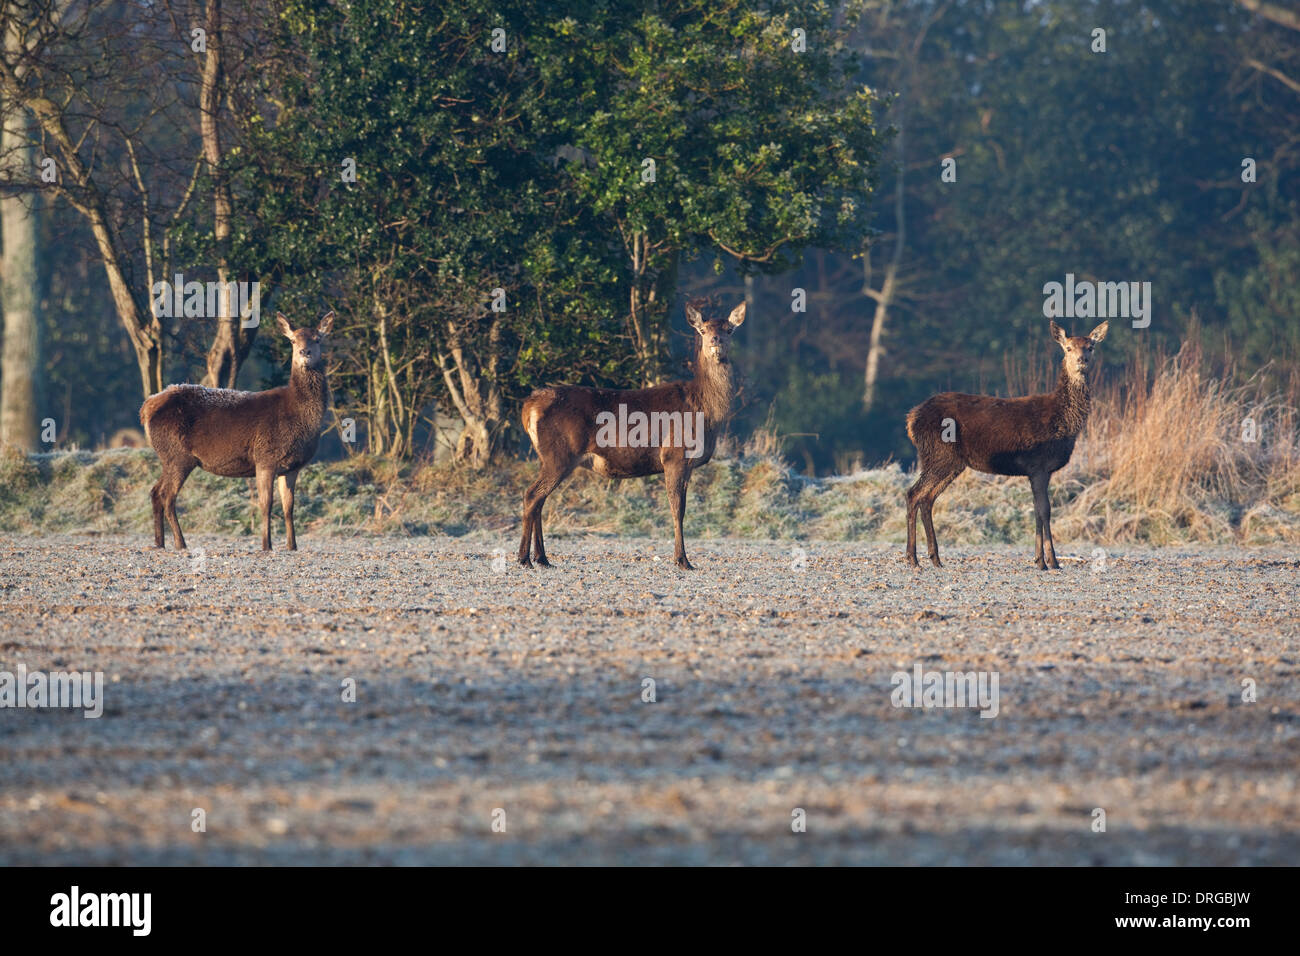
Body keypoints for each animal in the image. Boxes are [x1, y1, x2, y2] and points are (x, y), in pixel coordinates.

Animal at [141, 314, 335, 554]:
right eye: (292, 340)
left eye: (318, 339)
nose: (304, 352)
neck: (299, 417)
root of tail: (146, 407)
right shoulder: (265, 457)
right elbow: (266, 504)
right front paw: (266, 545)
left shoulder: (292, 467)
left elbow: (289, 506)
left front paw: (292, 546)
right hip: (178, 455)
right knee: (167, 495)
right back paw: (181, 543)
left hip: (169, 457)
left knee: (155, 491)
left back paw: (159, 543)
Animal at [514, 297, 748, 567]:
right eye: (703, 330)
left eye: (729, 330)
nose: (715, 341)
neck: (704, 411)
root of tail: (528, 407)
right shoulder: (674, 455)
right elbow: (677, 508)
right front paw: (682, 560)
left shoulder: (687, 463)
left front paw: (682, 558)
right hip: (559, 454)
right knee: (532, 495)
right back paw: (524, 558)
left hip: (549, 458)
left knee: (539, 499)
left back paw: (542, 558)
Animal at [904, 321, 1107, 572]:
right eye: (1068, 348)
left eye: (1090, 346)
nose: (1082, 360)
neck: (1063, 422)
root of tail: (911, 419)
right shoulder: (1038, 465)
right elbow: (1045, 510)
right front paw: (1050, 562)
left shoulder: (1040, 470)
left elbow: (1037, 510)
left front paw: (1042, 559)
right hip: (939, 455)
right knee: (913, 494)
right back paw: (913, 559)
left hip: (949, 462)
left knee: (927, 498)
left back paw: (935, 558)